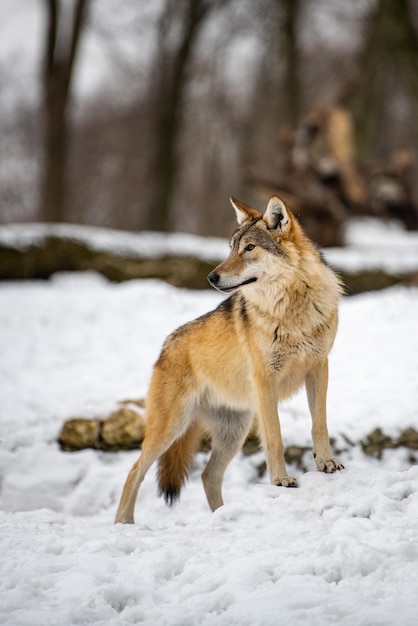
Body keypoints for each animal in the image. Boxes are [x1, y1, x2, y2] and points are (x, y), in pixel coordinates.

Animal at [114, 194, 342, 520]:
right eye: (231, 248)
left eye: (250, 248)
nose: (211, 276)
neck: (290, 311)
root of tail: (165, 345)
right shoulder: (265, 381)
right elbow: (276, 438)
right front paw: (280, 481)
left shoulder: (319, 368)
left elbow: (319, 424)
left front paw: (326, 463)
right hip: (171, 428)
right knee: (135, 470)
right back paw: (124, 522)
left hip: (233, 433)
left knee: (208, 475)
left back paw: (221, 516)